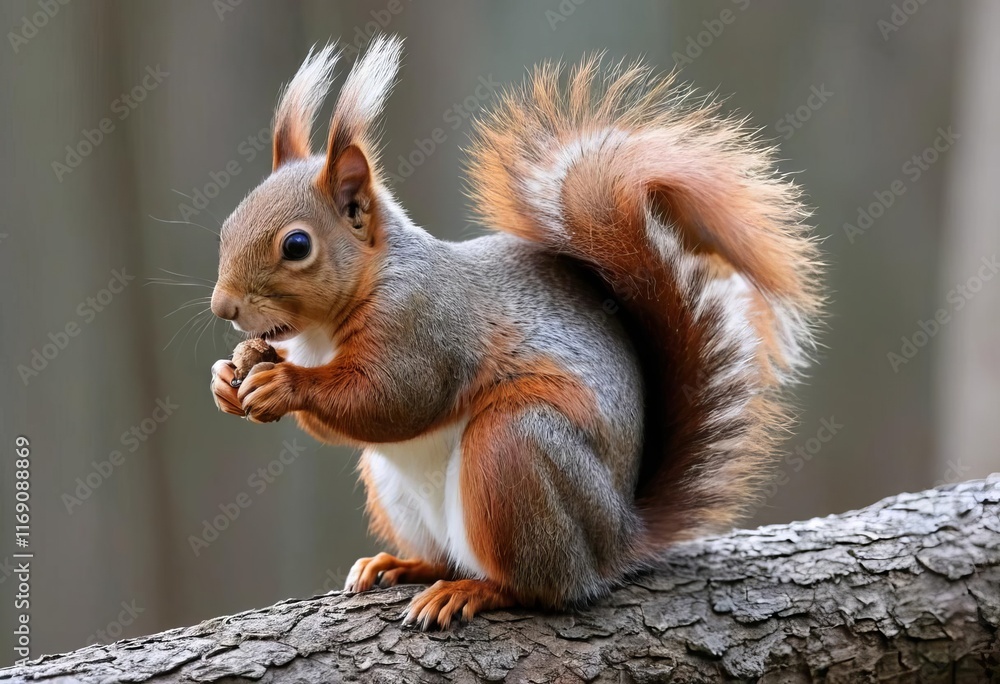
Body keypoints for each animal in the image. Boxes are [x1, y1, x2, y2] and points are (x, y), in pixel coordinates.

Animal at [209, 35, 823, 630]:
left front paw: (284, 385)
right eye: (227, 225)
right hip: (398, 489)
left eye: (296, 245)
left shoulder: (424, 326)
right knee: (443, 555)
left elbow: (393, 398)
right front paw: (225, 378)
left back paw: (471, 591)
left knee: (538, 586)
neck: (322, 330)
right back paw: (402, 565)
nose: (223, 307)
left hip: (515, 450)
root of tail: (617, 539)